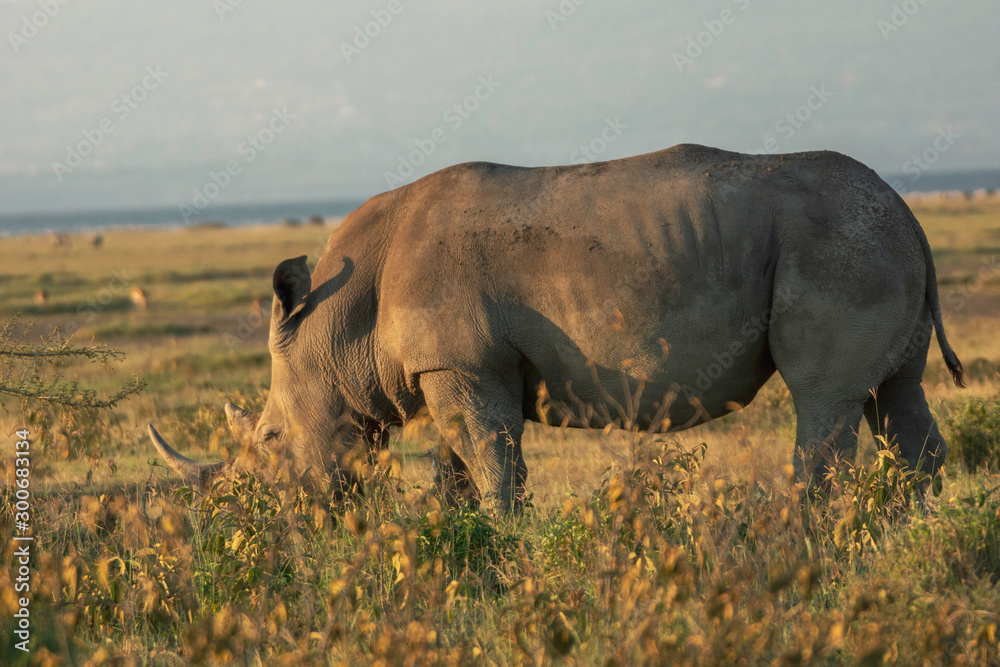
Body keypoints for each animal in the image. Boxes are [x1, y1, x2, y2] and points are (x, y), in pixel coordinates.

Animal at [149, 144, 964, 511]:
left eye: (271, 440)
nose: (261, 513)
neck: (338, 325)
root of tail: (911, 212)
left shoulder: (461, 364)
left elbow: (490, 458)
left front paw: (505, 535)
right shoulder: (452, 366)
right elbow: (457, 462)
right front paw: (462, 538)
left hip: (837, 245)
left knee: (823, 398)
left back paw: (809, 530)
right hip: (873, 242)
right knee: (895, 394)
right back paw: (906, 528)